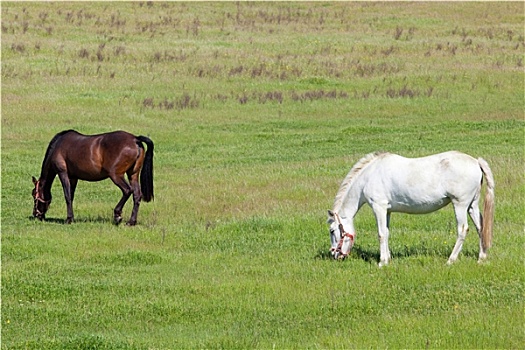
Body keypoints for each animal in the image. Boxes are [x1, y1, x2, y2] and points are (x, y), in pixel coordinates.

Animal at [326, 150, 494, 266]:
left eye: (332, 231)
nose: (335, 255)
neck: (369, 176)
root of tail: (476, 162)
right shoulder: (387, 211)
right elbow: (387, 233)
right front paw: (388, 259)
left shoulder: (379, 208)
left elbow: (381, 234)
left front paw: (381, 262)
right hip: (472, 205)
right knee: (481, 227)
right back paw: (481, 258)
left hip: (460, 204)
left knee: (463, 229)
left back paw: (450, 260)